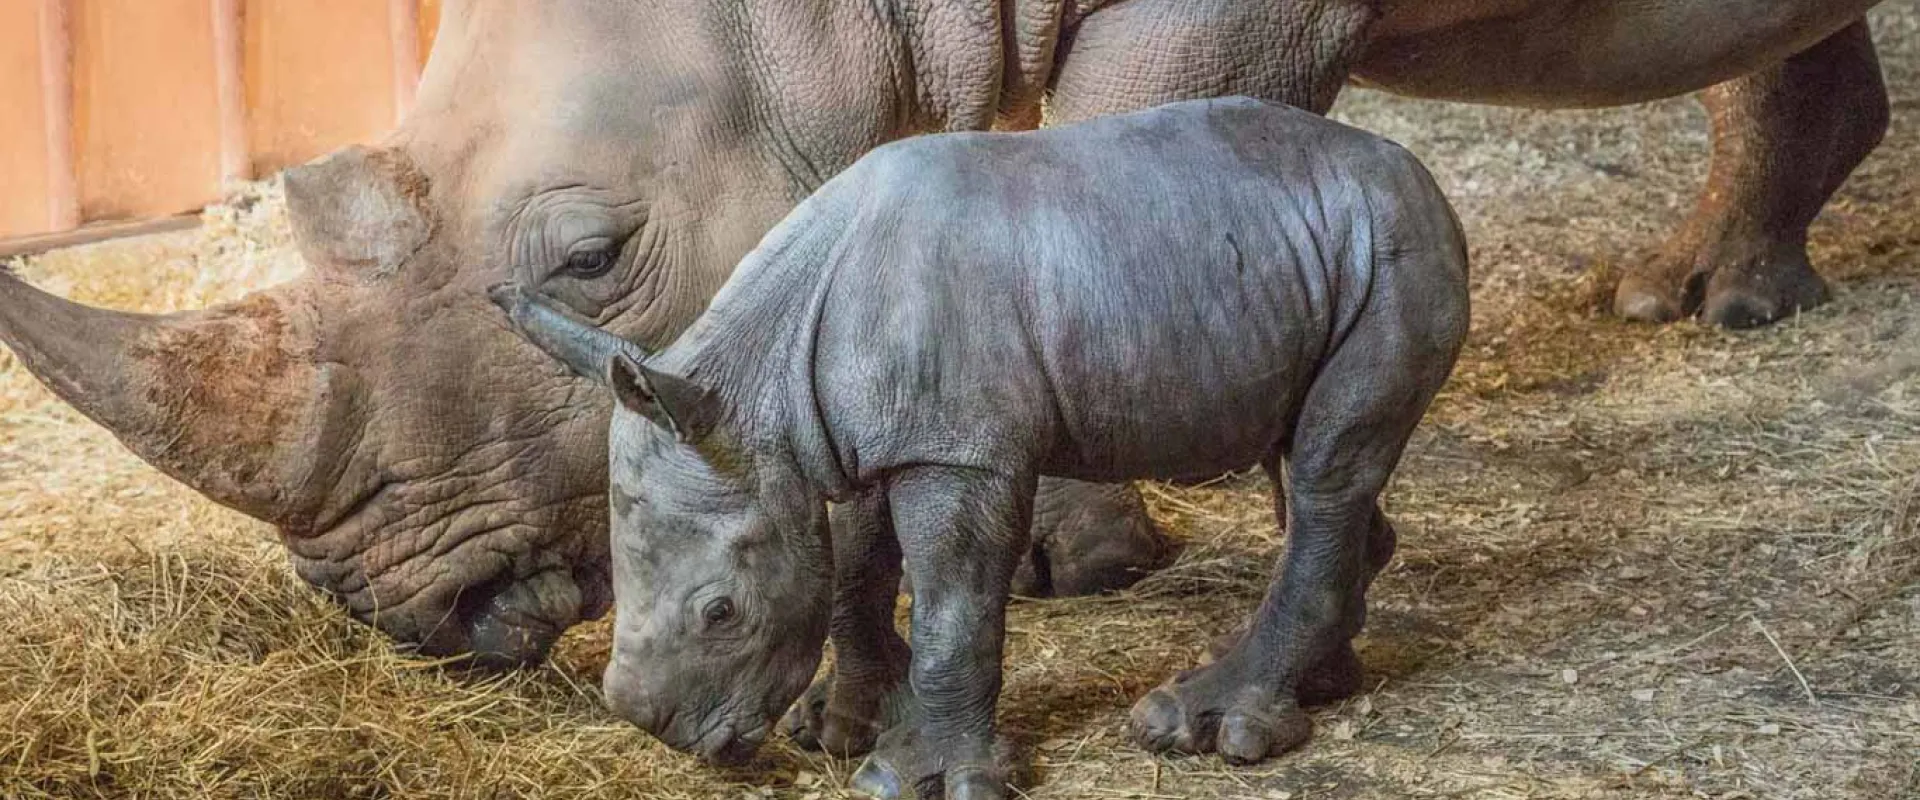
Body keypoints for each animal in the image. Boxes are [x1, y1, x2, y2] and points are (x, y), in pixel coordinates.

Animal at [491, 98, 1466, 798]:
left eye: (720, 612)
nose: (668, 735)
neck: (756, 390)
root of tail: (1419, 176)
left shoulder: (960, 452)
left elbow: (953, 605)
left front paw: (912, 775)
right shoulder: (867, 436)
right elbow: (854, 569)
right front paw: (847, 728)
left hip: (1394, 255)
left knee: (1325, 475)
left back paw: (1208, 727)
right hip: (1307, 258)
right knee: (1308, 468)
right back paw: (1326, 681)